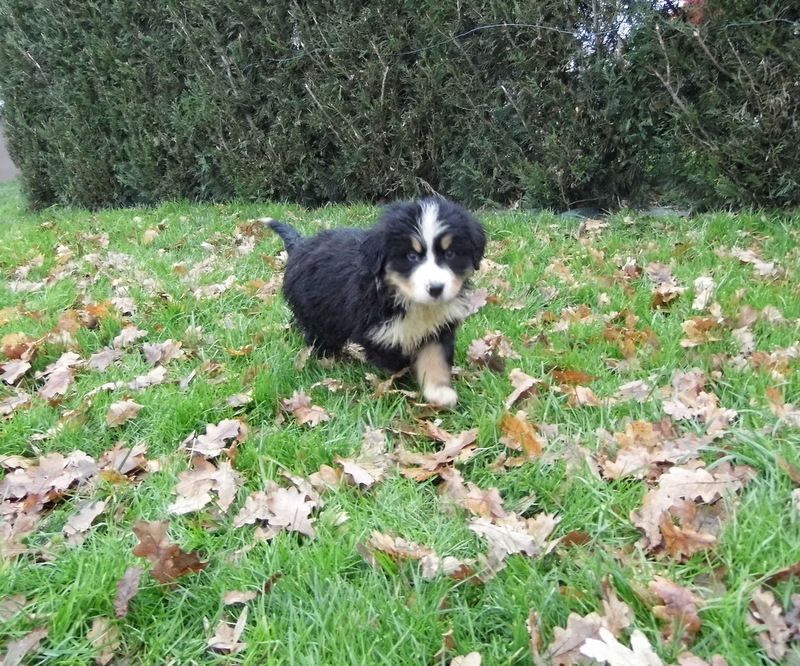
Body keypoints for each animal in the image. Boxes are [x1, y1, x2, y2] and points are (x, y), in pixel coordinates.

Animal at [268, 197, 486, 408]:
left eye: (450, 254)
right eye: (411, 256)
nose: (436, 289)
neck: (408, 301)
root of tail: (301, 245)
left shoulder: (437, 328)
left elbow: (435, 359)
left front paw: (439, 392)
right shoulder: (378, 333)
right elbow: (397, 364)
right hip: (317, 315)